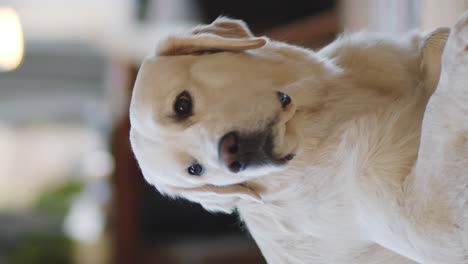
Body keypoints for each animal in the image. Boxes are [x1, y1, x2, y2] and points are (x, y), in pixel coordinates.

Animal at [129, 12, 468, 264]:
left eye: (182, 105)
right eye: (195, 170)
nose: (232, 155)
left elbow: (430, 47)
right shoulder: (427, 226)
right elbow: (439, 111)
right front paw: (458, 45)